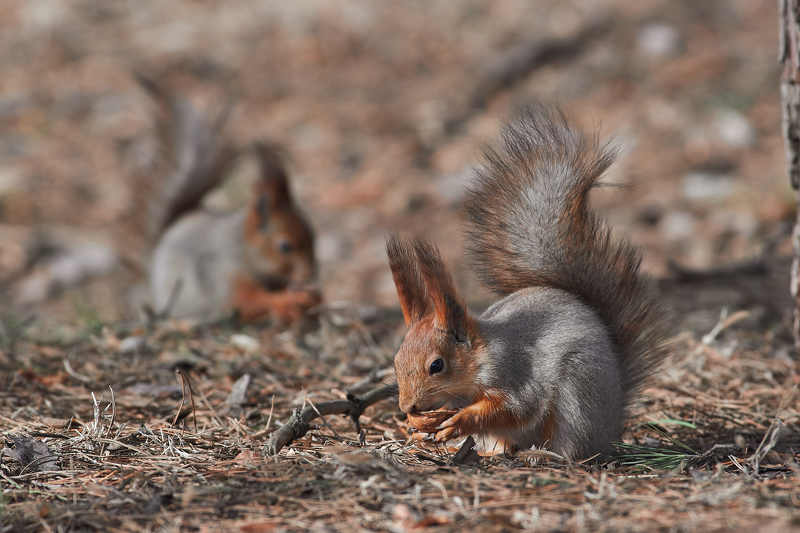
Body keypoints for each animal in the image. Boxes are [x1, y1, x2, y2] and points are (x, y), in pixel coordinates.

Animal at [139, 75, 320, 324]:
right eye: (285, 246)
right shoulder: (223, 273)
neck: (241, 248)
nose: (310, 274)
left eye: (313, 236)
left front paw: (313, 296)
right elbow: (249, 301)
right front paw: (287, 302)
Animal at [388, 104, 668, 458]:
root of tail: (612, 425)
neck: (479, 357)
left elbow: (516, 406)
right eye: (396, 361)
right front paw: (420, 423)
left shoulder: (515, 372)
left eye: (437, 366)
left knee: (570, 446)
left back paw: (542, 455)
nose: (406, 406)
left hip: (577, 393)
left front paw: (460, 421)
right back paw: (490, 452)